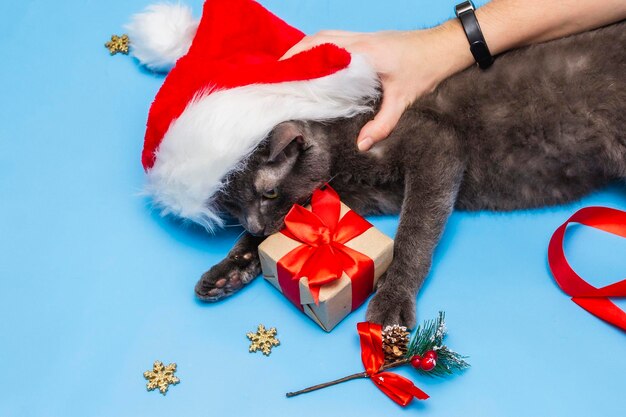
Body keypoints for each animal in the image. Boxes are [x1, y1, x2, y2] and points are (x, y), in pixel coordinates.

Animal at [193, 22, 620, 328]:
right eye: (232, 207)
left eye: (267, 192)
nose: (255, 223)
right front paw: (228, 270)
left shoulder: (434, 142)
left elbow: (414, 231)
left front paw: (393, 299)